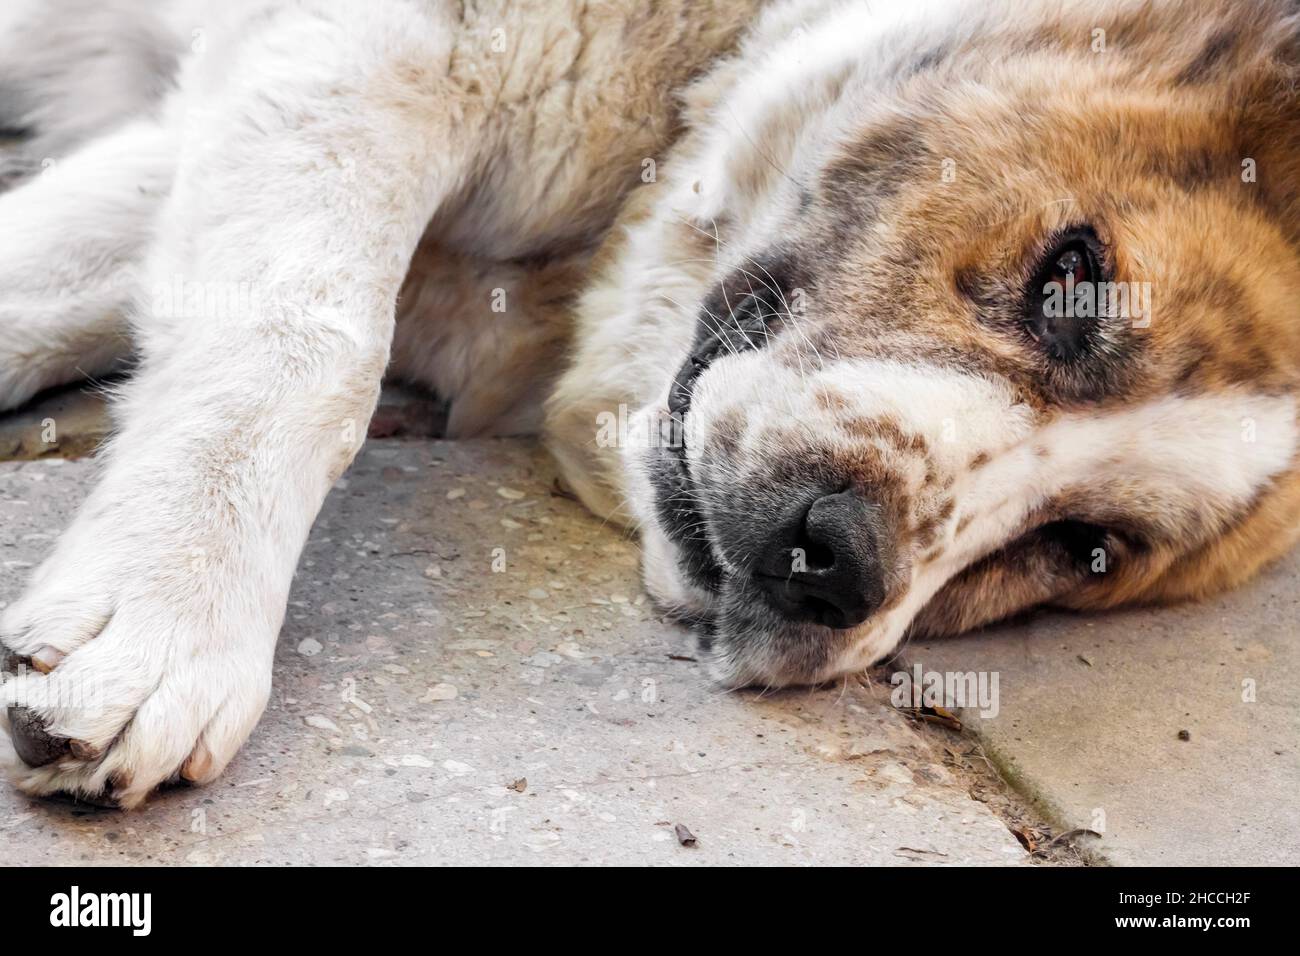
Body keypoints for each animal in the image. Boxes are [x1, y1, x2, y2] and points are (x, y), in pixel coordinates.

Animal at [0, 0, 1294, 806]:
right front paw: (171, 619)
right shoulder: (381, 52)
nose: (833, 560)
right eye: (1071, 278)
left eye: (1084, 547)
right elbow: (305, 338)